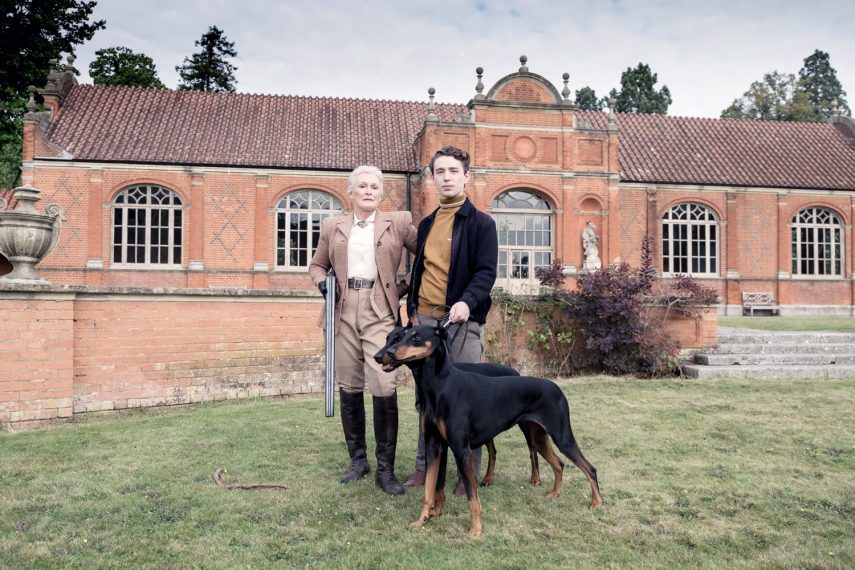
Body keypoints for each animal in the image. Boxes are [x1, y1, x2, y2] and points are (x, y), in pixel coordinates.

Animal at [372, 322, 600, 536]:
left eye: (416, 337)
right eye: (398, 337)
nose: (384, 355)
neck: (439, 385)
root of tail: (556, 388)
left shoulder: (461, 450)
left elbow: (472, 497)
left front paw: (476, 530)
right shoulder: (435, 445)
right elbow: (430, 488)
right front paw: (423, 520)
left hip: (561, 436)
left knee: (589, 468)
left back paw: (596, 503)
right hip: (539, 437)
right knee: (559, 464)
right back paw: (555, 494)